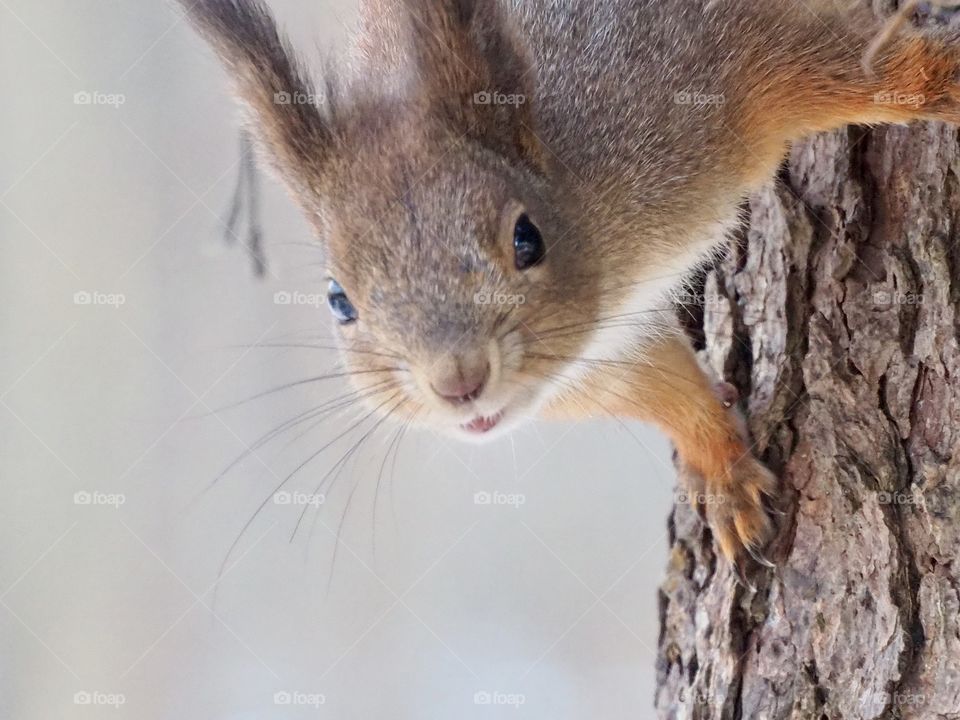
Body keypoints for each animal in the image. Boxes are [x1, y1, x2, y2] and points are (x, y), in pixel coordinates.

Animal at [180, 0, 960, 569]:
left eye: (527, 239)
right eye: (338, 300)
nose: (458, 383)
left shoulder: (716, 59)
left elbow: (855, 70)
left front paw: (945, 81)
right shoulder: (607, 356)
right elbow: (668, 391)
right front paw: (721, 475)